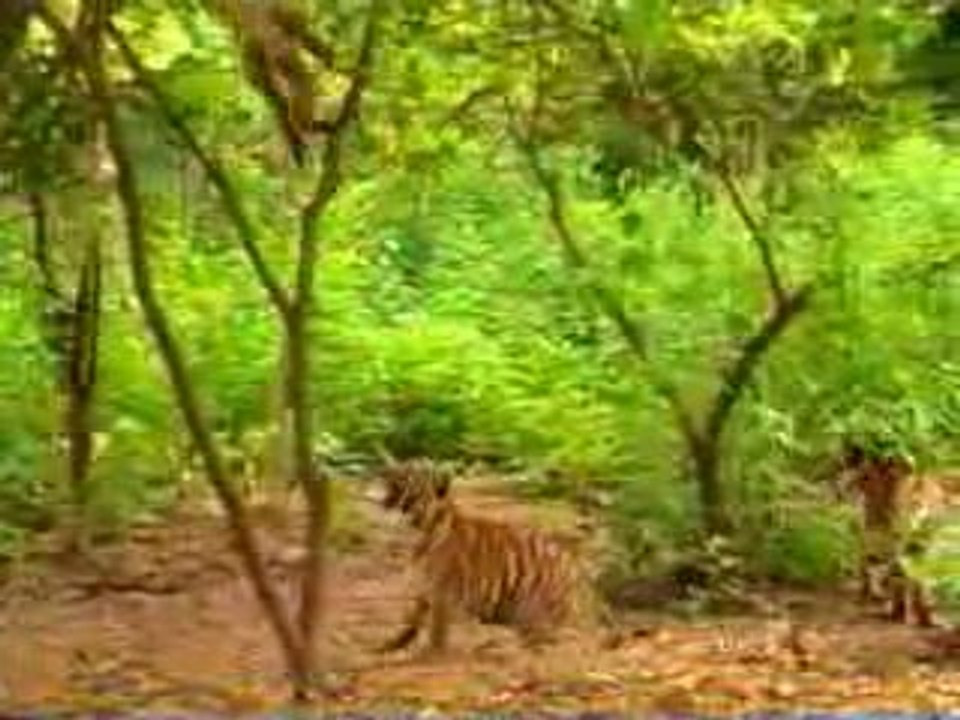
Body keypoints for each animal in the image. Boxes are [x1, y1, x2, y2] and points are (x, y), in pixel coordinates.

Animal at [373, 457, 624, 655]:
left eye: (408, 473)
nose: (385, 469)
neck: (420, 526)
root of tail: (586, 584)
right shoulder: (426, 589)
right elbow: (411, 621)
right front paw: (391, 645)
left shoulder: (443, 592)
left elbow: (437, 629)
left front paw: (431, 653)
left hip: (535, 611)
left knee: (567, 641)